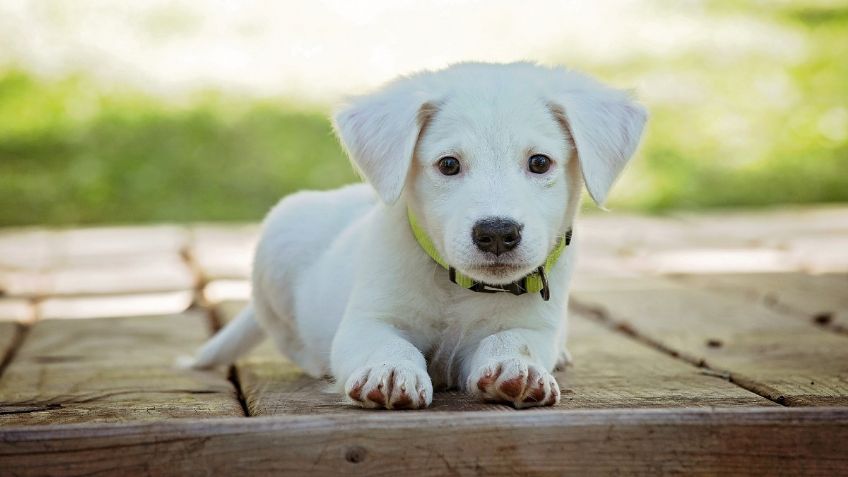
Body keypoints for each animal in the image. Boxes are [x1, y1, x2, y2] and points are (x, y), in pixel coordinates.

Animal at [190, 61, 644, 408]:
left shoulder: (536, 326)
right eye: (448, 165)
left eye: (539, 162)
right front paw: (391, 371)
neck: (458, 288)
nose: (497, 233)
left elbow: (513, 340)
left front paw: (518, 368)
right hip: (279, 240)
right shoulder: (368, 320)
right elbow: (390, 343)